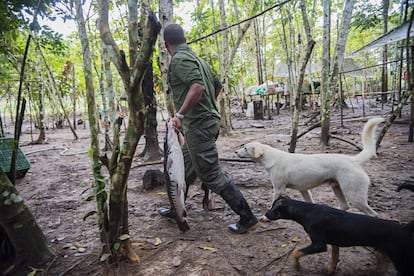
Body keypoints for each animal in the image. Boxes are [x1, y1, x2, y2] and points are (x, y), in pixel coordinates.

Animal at [236, 117, 384, 217]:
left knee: (373, 214)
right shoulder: (304, 190)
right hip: (337, 188)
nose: (235, 152)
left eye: (245, 148)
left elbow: (273, 203)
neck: (271, 158)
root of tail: (353, 160)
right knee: (345, 206)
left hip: (354, 196)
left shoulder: (278, 189)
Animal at [266, 195, 414, 274]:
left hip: (399, 258)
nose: (266, 214)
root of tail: (403, 228)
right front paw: (330, 270)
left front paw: (297, 265)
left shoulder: (319, 244)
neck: (307, 211)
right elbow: (334, 256)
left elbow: (296, 252)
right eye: (272, 206)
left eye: (276, 210)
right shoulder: (334, 242)